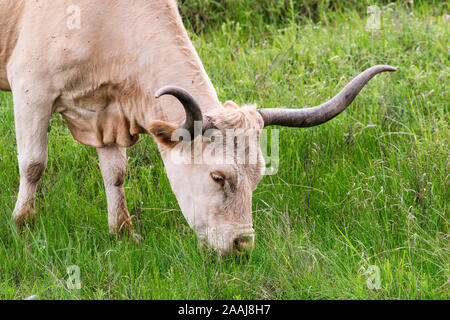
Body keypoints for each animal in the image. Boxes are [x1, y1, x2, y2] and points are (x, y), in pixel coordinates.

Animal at [0, 0, 394, 255]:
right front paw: (22, 226)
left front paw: (123, 232)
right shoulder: (32, 89)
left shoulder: (105, 111)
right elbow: (33, 164)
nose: (242, 245)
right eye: (218, 176)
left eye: (258, 177)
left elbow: (115, 174)